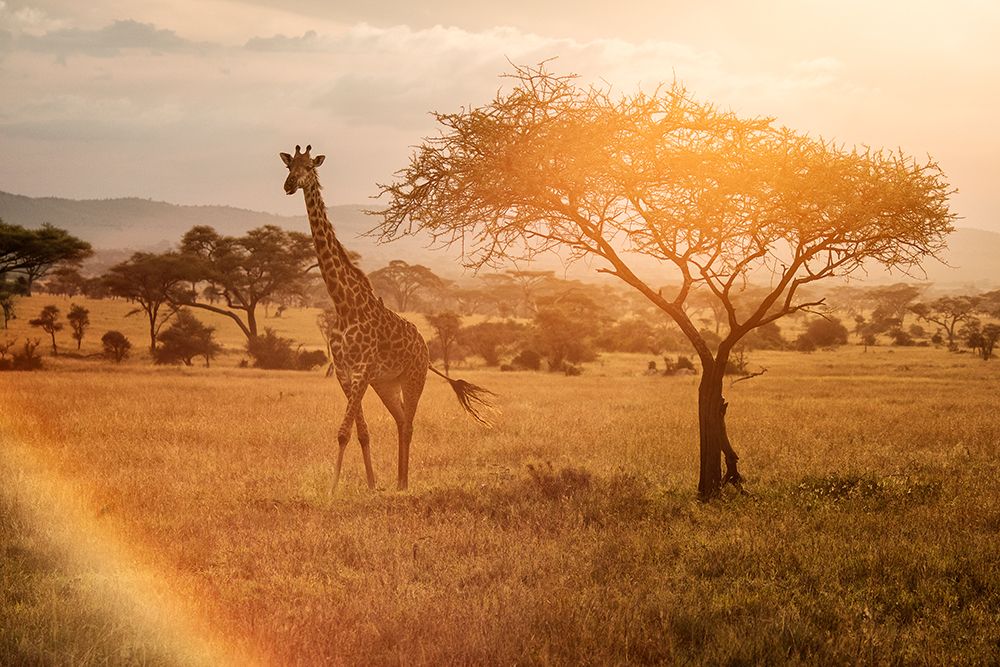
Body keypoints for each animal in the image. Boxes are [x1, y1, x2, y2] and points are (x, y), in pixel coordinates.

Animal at [280, 144, 495, 490]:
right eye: (289, 166)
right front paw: (369, 484)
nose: (288, 185)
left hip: (413, 378)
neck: (344, 303)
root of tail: (424, 346)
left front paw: (333, 488)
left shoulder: (362, 370)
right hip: (387, 384)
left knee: (409, 423)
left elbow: (344, 432)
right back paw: (398, 480)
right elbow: (361, 432)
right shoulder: (345, 373)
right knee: (400, 419)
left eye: (309, 167)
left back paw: (404, 484)